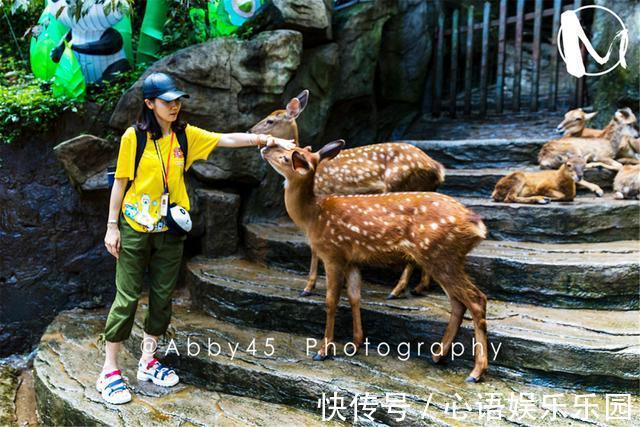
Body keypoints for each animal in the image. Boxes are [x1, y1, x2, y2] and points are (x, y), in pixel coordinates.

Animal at [250, 89, 444, 300]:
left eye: (270, 120)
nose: (250, 131)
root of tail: (437, 169)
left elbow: (314, 248)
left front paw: (308, 287)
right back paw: (419, 287)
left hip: (400, 188)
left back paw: (397, 290)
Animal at [260, 141, 490, 384]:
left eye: (286, 157)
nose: (265, 147)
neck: (313, 216)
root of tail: (477, 226)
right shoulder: (352, 259)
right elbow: (354, 297)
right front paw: (355, 343)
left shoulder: (333, 253)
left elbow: (331, 301)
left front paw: (323, 350)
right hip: (444, 258)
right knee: (458, 302)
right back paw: (438, 355)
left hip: (440, 254)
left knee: (476, 300)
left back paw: (475, 372)